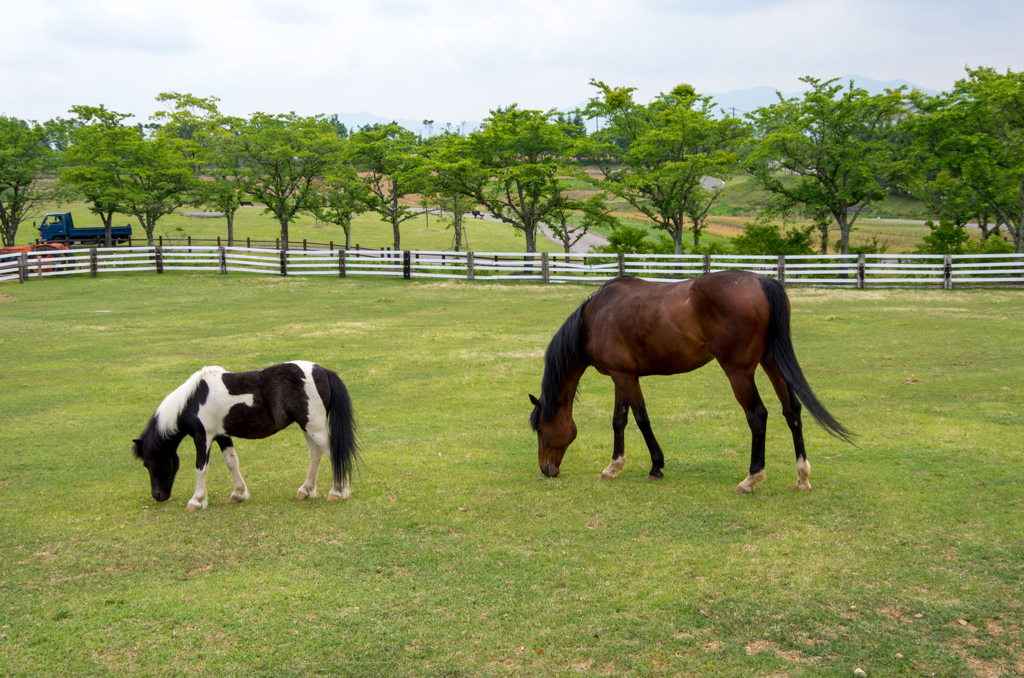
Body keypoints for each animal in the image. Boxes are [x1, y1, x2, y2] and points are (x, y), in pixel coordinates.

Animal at [132, 360, 358, 510]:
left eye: (148, 463)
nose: (158, 496)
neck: (193, 399)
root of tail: (323, 371)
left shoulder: (202, 436)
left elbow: (201, 468)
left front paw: (196, 501)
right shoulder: (222, 435)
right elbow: (232, 463)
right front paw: (238, 493)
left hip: (315, 427)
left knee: (333, 453)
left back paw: (337, 492)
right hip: (308, 427)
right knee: (315, 455)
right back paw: (306, 490)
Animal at [528, 270, 847, 493]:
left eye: (541, 430)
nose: (545, 469)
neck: (594, 317)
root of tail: (760, 281)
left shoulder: (624, 376)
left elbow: (641, 419)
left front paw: (656, 465)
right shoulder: (623, 375)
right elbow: (620, 420)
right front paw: (614, 466)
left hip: (739, 371)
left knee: (757, 415)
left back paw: (751, 478)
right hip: (772, 363)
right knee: (791, 410)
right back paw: (802, 476)